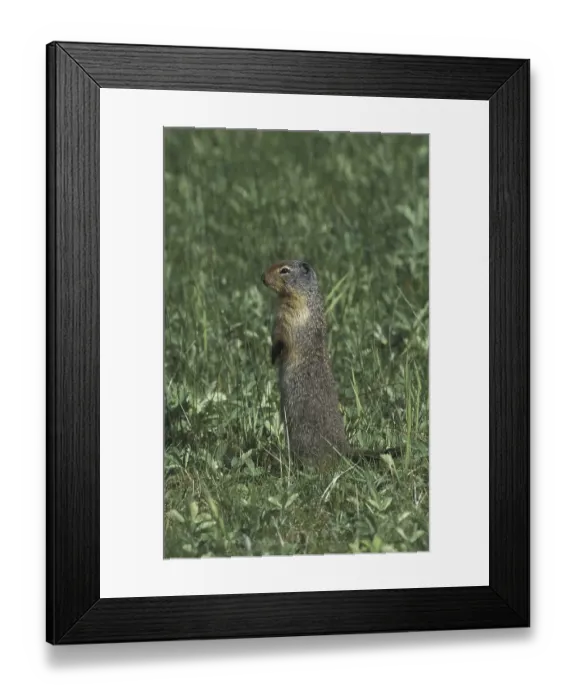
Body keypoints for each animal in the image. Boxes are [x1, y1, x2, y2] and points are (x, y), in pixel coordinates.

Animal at [261, 259, 400, 467]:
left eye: (284, 270)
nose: (262, 278)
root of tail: (343, 449)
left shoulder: (293, 318)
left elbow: (284, 340)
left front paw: (275, 355)